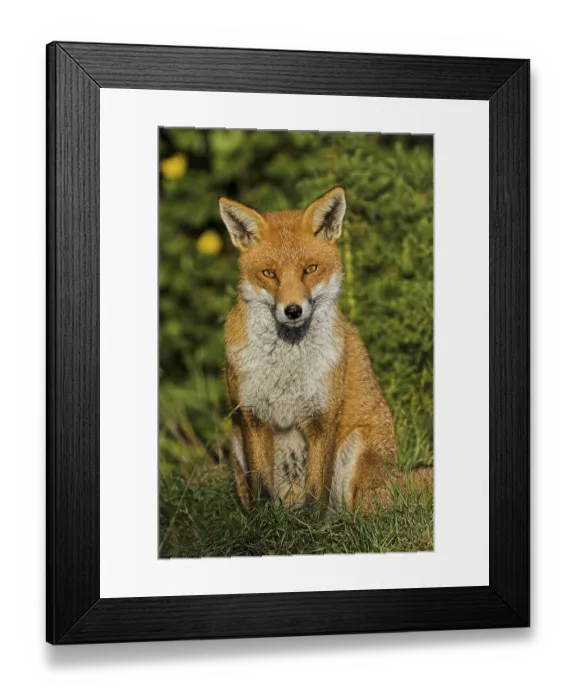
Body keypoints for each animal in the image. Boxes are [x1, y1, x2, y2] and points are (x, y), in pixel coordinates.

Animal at [219, 187, 399, 513]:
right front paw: (261, 524)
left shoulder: (322, 416)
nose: (292, 310)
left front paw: (312, 527)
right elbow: (261, 487)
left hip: (357, 452)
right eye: (269, 273)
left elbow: (317, 493)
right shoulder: (252, 416)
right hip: (236, 442)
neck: (286, 370)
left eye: (310, 269)